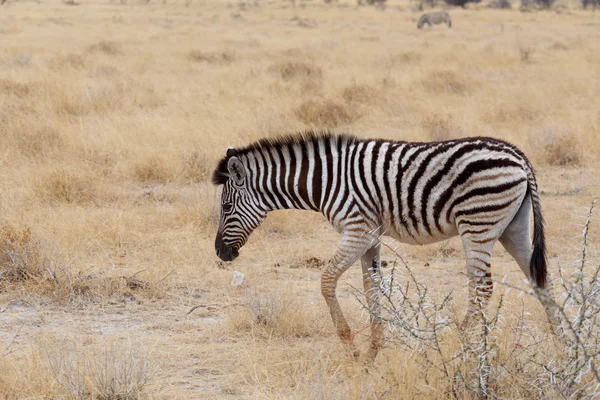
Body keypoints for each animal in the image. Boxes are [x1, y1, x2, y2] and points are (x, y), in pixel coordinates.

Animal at [211, 131, 556, 360]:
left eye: (226, 207)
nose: (220, 253)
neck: (325, 181)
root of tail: (518, 156)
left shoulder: (357, 230)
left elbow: (327, 281)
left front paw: (351, 346)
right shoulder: (371, 236)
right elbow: (371, 286)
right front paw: (374, 350)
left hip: (478, 225)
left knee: (482, 287)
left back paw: (459, 344)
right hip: (512, 228)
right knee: (539, 280)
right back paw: (561, 341)